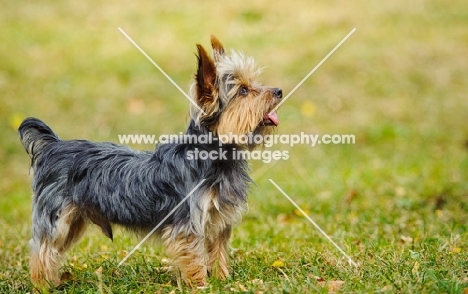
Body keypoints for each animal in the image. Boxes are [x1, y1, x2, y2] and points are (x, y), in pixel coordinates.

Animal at [18, 35, 282, 288]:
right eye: (243, 91)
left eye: (255, 83)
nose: (279, 90)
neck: (212, 155)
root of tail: (53, 145)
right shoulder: (187, 224)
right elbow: (195, 259)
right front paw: (201, 285)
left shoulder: (218, 221)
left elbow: (218, 253)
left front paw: (223, 281)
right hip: (57, 217)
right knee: (43, 251)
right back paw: (42, 285)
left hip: (73, 221)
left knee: (51, 252)